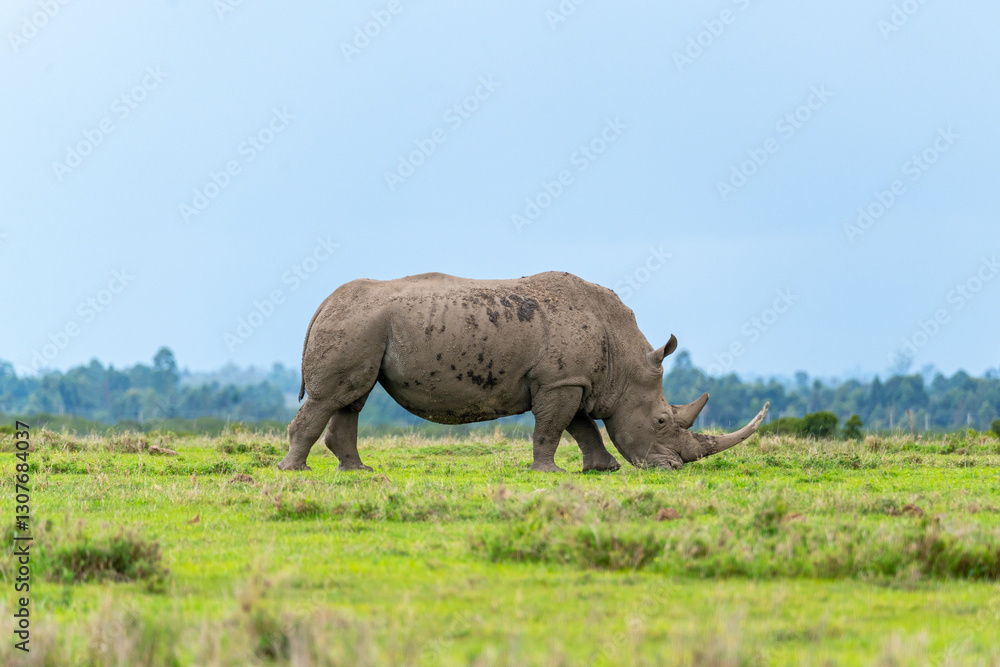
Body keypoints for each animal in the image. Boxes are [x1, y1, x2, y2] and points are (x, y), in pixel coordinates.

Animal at [277, 271, 768, 473]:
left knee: (351, 399)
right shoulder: (560, 381)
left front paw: (603, 469)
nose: (673, 468)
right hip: (357, 323)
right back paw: (295, 472)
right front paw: (548, 473)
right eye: (662, 421)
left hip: (364, 325)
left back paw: (358, 471)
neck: (622, 357)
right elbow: (553, 428)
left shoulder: (572, 379)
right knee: (331, 398)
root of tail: (325, 302)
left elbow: (582, 426)